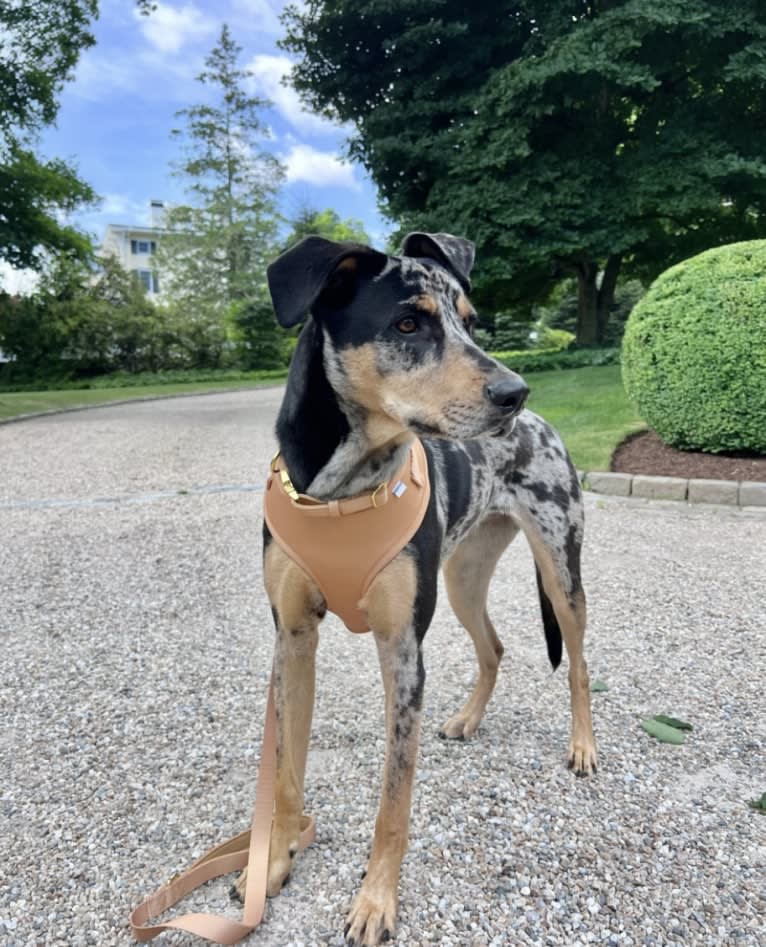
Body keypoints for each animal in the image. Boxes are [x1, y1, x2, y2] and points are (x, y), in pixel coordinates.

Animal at [234, 231, 600, 947]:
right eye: (408, 323)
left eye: (472, 321)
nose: (514, 391)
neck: (343, 490)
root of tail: (543, 424)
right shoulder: (292, 639)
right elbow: (286, 773)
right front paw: (274, 863)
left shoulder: (401, 649)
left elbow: (393, 801)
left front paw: (376, 900)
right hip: (462, 578)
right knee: (494, 647)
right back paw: (467, 718)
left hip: (559, 567)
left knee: (576, 661)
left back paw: (583, 746)